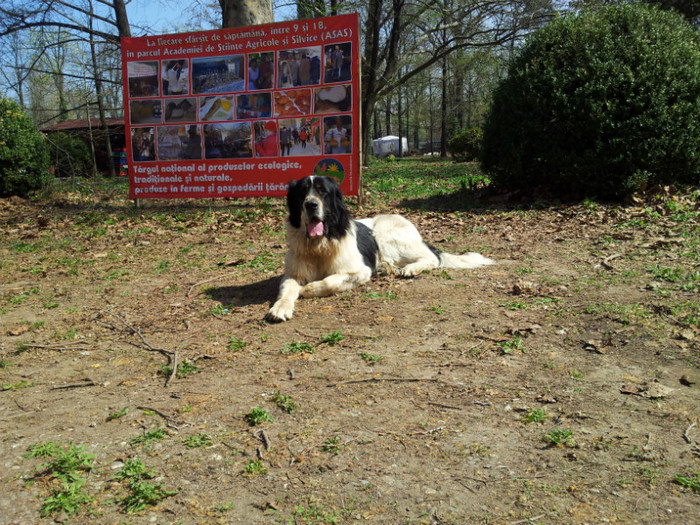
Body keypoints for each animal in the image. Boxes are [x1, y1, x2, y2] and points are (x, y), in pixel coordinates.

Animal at [264, 176, 492, 322]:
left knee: (432, 259)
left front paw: (309, 289)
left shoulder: (361, 271)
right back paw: (386, 268)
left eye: (323, 192)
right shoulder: (292, 274)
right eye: (302, 192)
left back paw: (410, 269)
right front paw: (280, 307)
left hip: (385, 233)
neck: (321, 244)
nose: (310, 205)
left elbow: (331, 281)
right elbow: (287, 289)